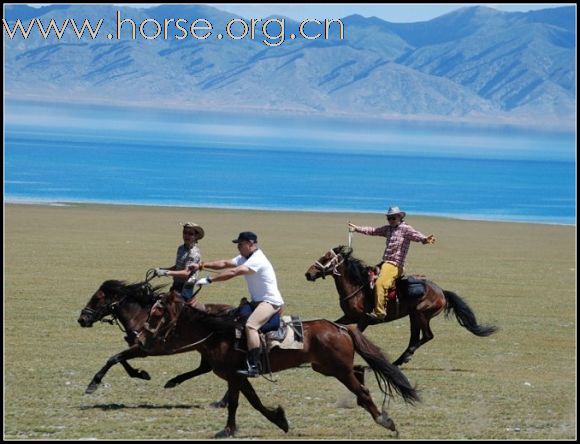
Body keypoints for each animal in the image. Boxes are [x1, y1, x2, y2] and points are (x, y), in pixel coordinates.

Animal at [142, 306, 422, 438]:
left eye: (157, 314)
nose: (143, 337)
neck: (221, 334)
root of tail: (341, 327)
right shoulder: (239, 377)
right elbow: (249, 402)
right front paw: (278, 419)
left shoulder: (234, 376)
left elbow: (239, 403)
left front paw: (230, 429)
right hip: (327, 367)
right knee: (360, 371)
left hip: (337, 369)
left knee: (363, 391)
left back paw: (385, 420)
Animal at [304, 245, 498, 366]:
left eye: (327, 257)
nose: (308, 274)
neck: (357, 287)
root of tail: (442, 291)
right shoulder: (348, 316)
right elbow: (334, 324)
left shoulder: (363, 320)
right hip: (414, 316)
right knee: (415, 337)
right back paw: (399, 360)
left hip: (421, 314)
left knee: (427, 336)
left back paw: (404, 358)